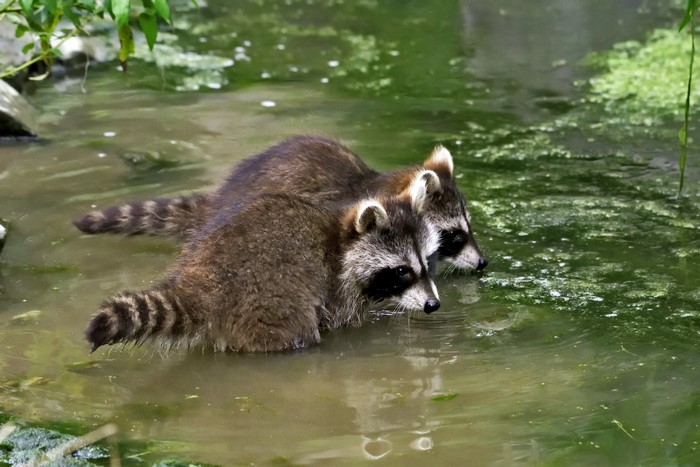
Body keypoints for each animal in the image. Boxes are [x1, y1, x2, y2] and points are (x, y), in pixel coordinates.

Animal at [85, 170, 442, 353]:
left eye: (427, 262)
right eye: (401, 271)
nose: (433, 305)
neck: (340, 240)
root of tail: (199, 284)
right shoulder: (336, 286)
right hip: (268, 300)